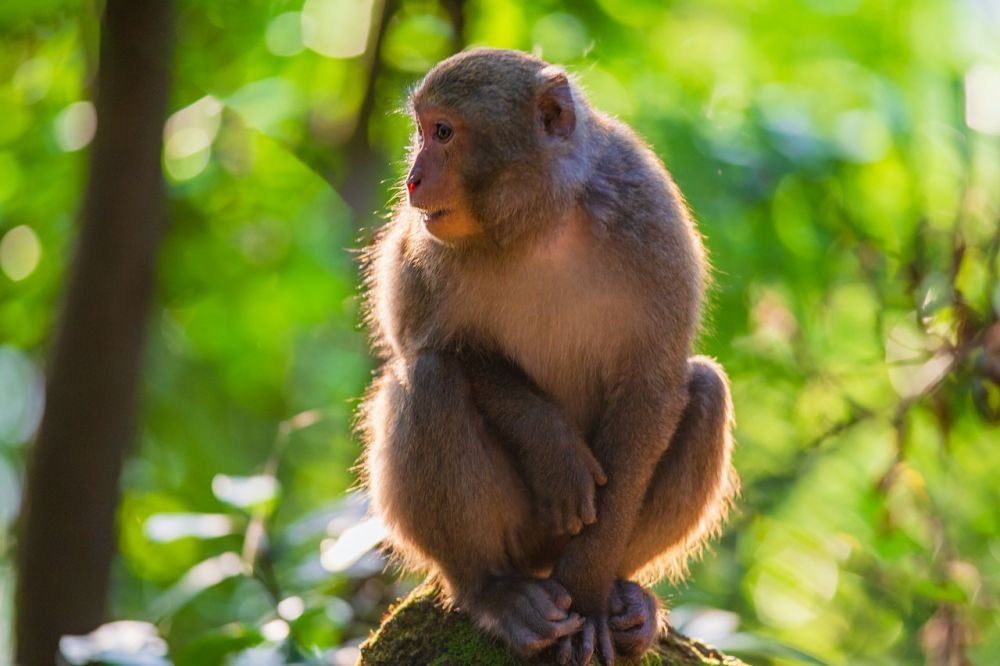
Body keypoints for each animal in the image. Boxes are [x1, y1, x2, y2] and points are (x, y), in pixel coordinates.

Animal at [360, 48, 736, 664]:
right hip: (520, 531)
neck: (541, 222)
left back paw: (624, 597)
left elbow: (651, 385)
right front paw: (552, 445)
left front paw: (588, 595)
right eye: (423, 130)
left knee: (704, 389)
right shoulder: (422, 246)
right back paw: (494, 592)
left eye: (444, 132)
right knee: (432, 377)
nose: (413, 178)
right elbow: (424, 344)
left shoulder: (650, 214)